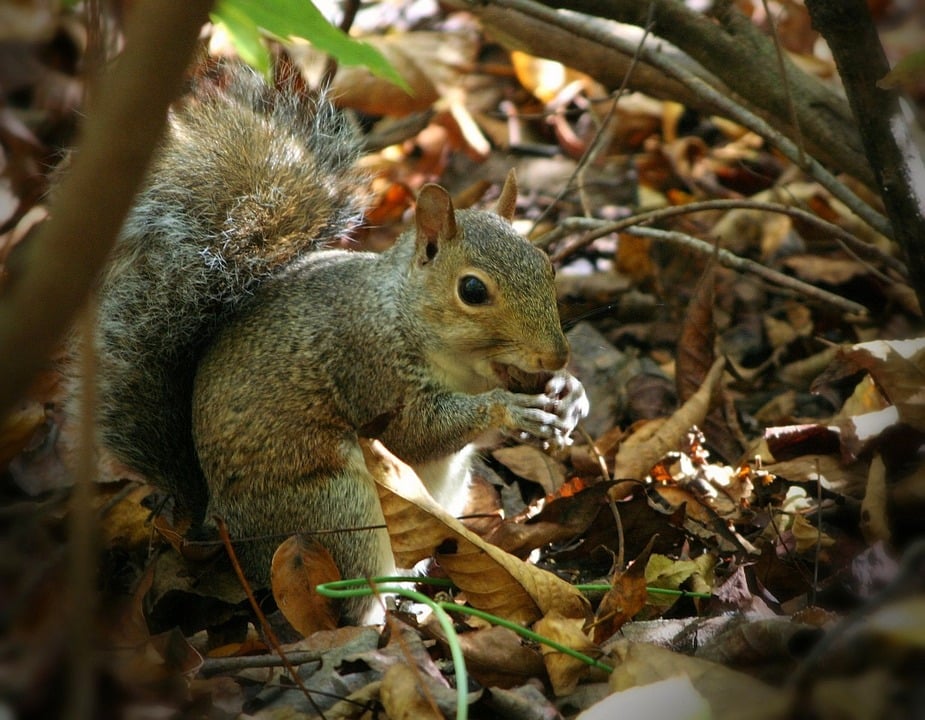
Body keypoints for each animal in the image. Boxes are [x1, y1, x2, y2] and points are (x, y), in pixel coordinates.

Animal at [74, 64, 592, 620]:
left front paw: (570, 394)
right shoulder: (365, 365)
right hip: (335, 510)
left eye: (547, 263)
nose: (557, 354)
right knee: (357, 591)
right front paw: (509, 409)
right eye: (472, 290)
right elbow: (415, 433)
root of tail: (216, 529)